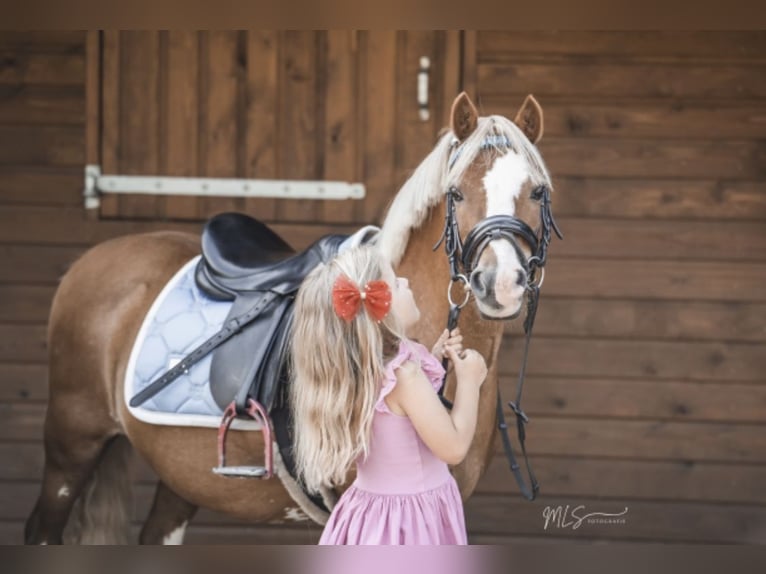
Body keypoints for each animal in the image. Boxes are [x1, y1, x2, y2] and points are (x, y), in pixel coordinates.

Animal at [24, 92, 560, 548]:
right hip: (72, 442)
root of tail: (92, 260)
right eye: (456, 193)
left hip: (181, 471)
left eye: (537, 192)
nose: (499, 282)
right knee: (42, 528)